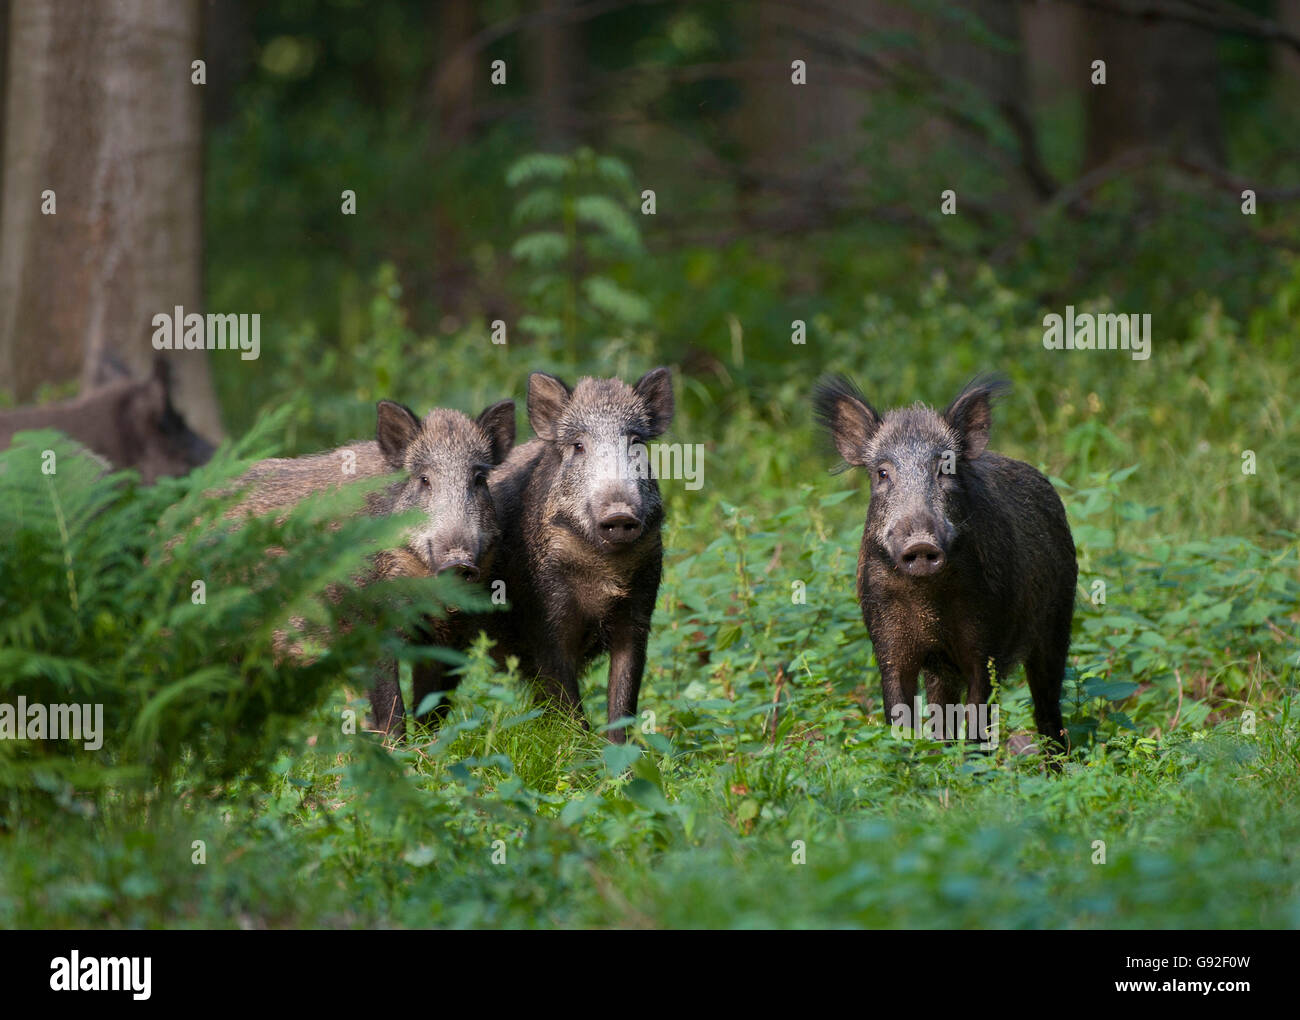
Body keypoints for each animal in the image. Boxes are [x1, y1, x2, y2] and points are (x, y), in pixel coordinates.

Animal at [232, 398, 515, 737]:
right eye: (423, 479)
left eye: (479, 479)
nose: (458, 561)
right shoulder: (367, 629)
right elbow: (391, 709)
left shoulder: (450, 635)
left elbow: (433, 708)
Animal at [425, 369, 675, 742]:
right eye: (578, 446)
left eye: (636, 443)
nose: (619, 513)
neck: (603, 570)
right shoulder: (545, 621)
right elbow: (569, 703)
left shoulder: (638, 615)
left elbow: (623, 699)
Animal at [813, 375, 1076, 752]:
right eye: (882, 473)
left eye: (944, 469)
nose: (921, 542)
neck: (927, 599)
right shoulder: (887, 642)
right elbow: (900, 712)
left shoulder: (986, 644)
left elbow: (979, 715)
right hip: (943, 669)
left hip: (1057, 621)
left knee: (1047, 704)